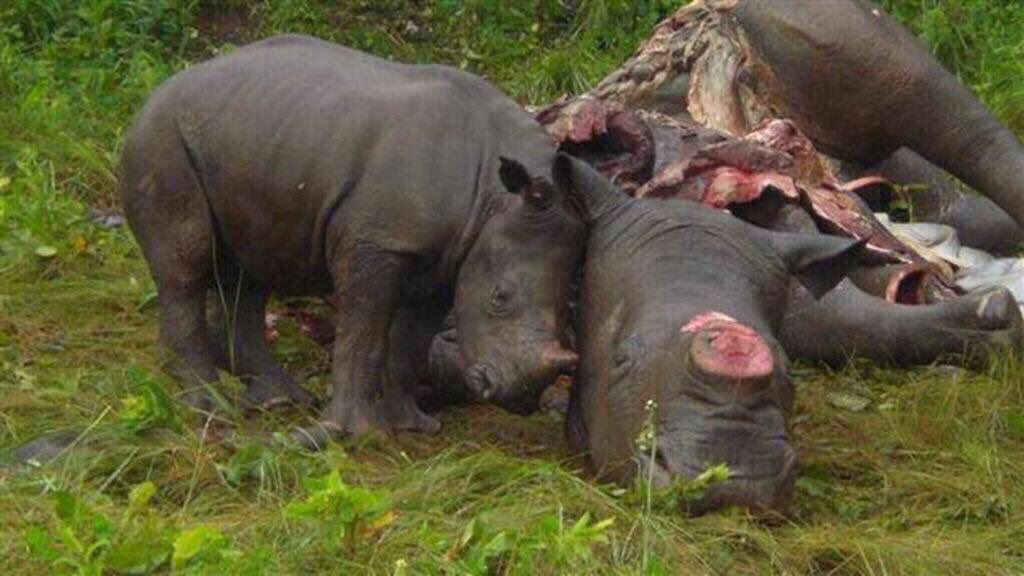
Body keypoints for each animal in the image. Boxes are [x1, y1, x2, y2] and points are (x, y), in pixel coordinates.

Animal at [120, 35, 614, 443]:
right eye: (500, 298)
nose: (518, 399)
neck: (493, 196)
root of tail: (157, 91)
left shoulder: (447, 258)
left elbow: (409, 343)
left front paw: (412, 426)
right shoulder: (378, 244)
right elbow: (362, 333)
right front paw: (352, 433)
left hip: (255, 134)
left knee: (252, 270)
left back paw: (280, 400)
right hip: (162, 140)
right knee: (187, 264)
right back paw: (210, 407)